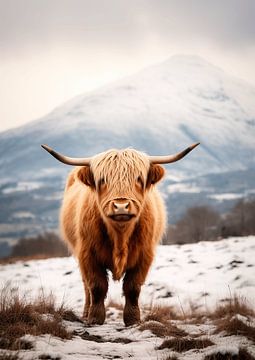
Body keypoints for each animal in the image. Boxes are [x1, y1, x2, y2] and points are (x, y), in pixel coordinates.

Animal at [41, 143, 198, 326]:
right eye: (102, 180)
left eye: (139, 178)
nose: (121, 206)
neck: (120, 237)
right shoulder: (87, 254)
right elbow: (97, 286)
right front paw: (95, 318)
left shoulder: (144, 255)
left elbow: (133, 288)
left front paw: (133, 320)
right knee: (86, 286)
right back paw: (86, 314)